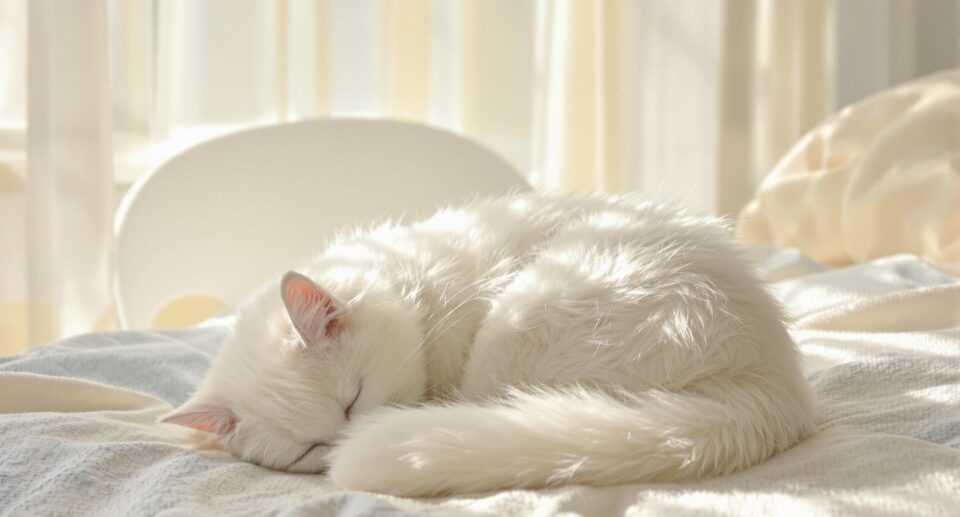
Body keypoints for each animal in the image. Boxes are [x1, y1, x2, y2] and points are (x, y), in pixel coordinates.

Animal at [161, 194, 812, 496]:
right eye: (307, 450)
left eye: (354, 400)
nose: (350, 436)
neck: (419, 294)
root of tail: (771, 388)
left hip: (523, 318)